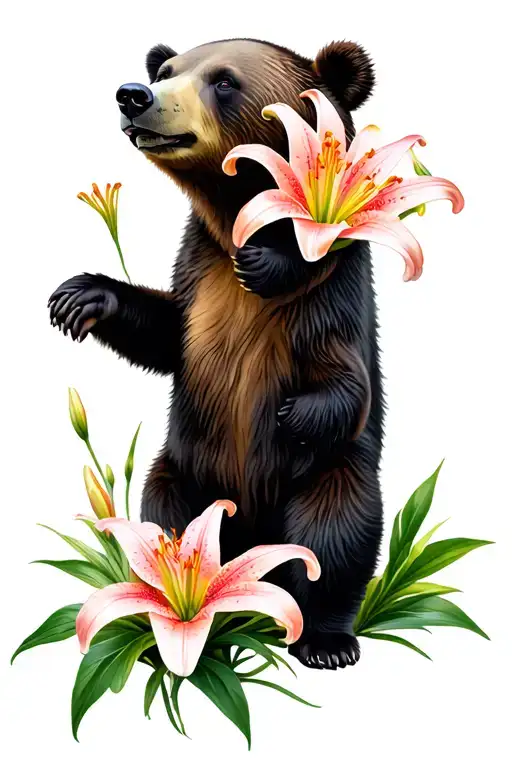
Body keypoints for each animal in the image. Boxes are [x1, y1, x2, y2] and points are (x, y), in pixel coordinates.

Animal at [48, 38, 384, 670]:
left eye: (224, 81)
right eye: (167, 70)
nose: (134, 95)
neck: (236, 219)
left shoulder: (328, 298)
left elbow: (344, 383)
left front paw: (289, 413)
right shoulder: (199, 270)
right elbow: (166, 333)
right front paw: (80, 295)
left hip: (329, 476)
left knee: (335, 534)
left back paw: (324, 639)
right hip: (182, 473)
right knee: (166, 524)